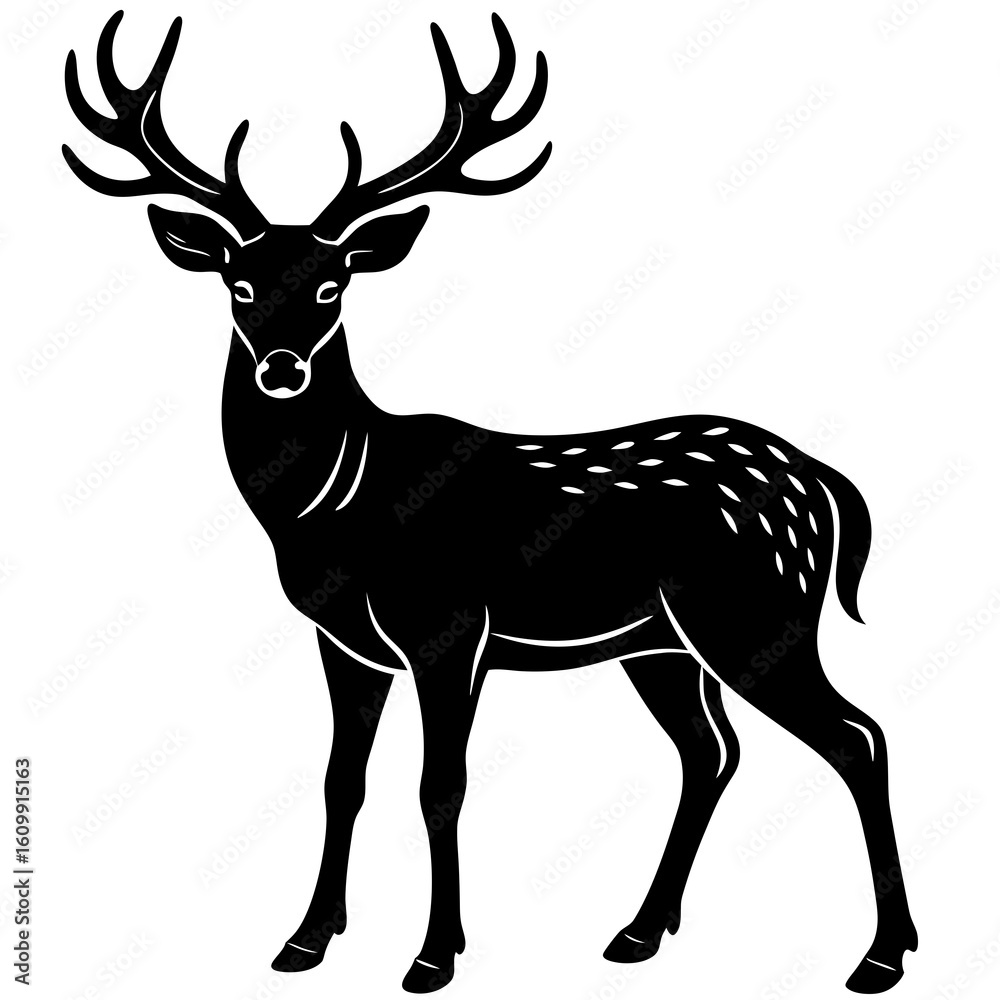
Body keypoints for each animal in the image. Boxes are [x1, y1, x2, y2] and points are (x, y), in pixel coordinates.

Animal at [63, 10, 917, 995]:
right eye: (237, 281)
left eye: (331, 283)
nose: (281, 368)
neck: (341, 503)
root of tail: (825, 482)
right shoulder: (341, 639)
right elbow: (341, 780)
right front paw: (305, 940)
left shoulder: (449, 625)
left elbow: (442, 786)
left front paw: (434, 956)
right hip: (663, 644)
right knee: (713, 752)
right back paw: (639, 932)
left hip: (756, 612)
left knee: (857, 735)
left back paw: (882, 955)